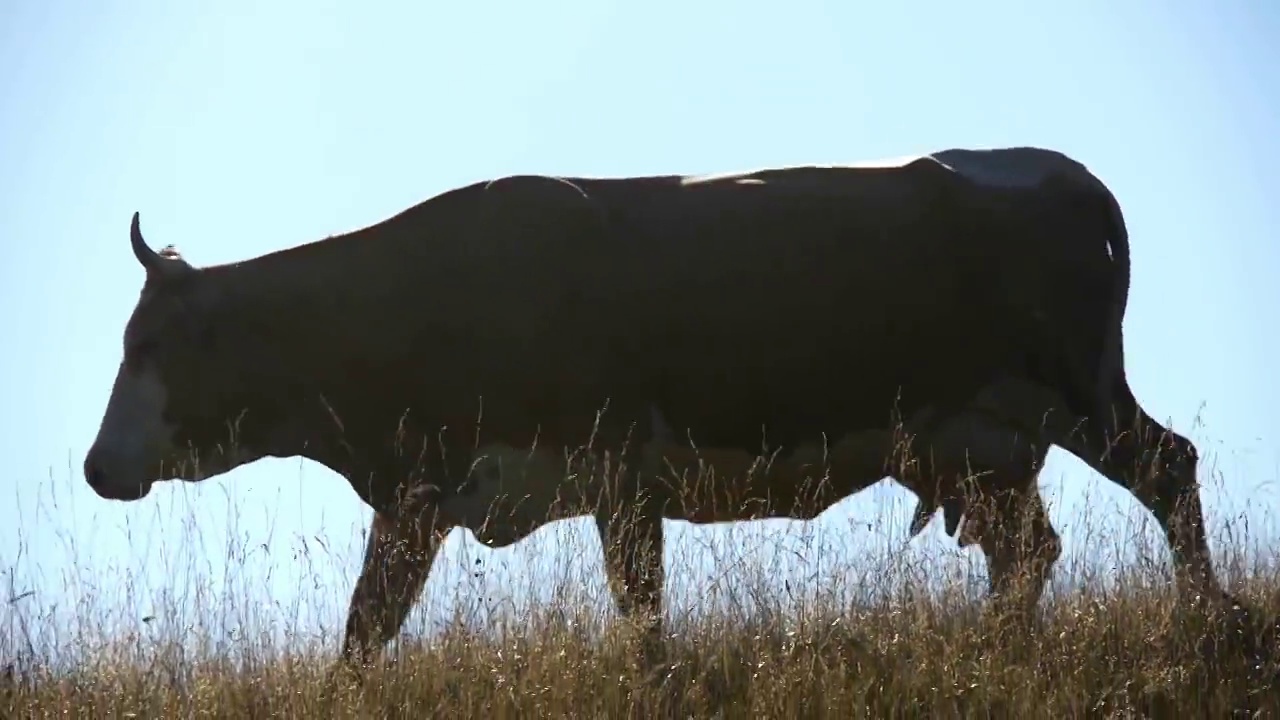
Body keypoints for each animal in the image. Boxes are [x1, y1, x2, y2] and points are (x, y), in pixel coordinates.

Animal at [80, 142, 1259, 671]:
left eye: (153, 345)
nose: (98, 465)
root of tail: (1054, 170)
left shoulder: (607, 474)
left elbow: (637, 613)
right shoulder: (431, 494)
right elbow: (369, 625)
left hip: (1079, 397)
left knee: (1168, 470)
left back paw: (1206, 619)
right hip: (979, 446)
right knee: (1028, 550)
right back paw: (996, 649)